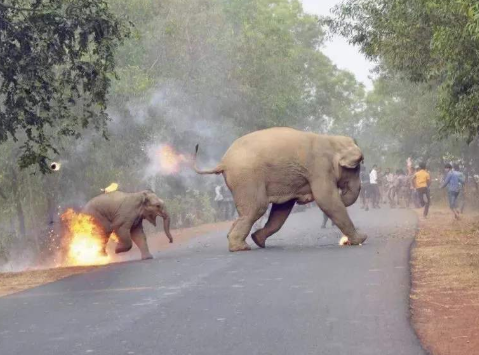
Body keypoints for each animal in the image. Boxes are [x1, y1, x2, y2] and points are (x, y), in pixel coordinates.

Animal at [195, 128, 368, 253]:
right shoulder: (320, 168)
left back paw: (247, 242)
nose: (343, 195)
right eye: (356, 168)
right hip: (247, 178)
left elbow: (282, 209)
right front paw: (361, 239)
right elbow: (327, 200)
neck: (331, 140)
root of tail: (223, 162)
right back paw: (240, 248)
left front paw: (258, 239)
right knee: (257, 208)